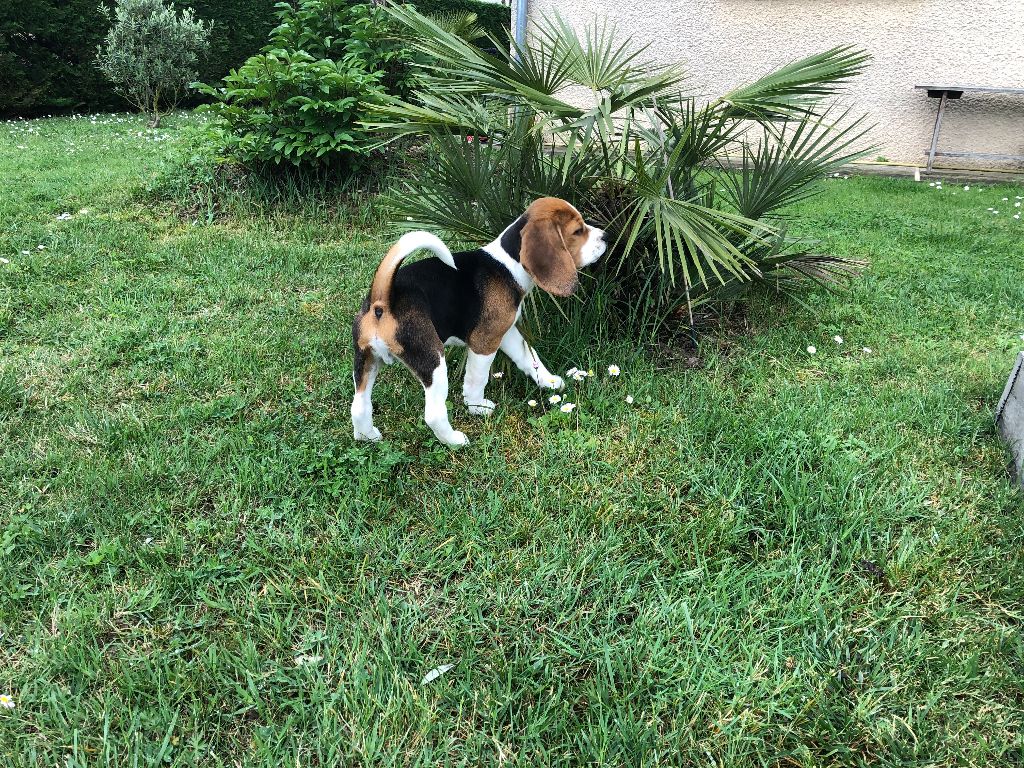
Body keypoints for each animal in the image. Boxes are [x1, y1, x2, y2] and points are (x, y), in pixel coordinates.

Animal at [352, 196, 606, 444]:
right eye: (577, 231)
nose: (606, 236)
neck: (508, 265)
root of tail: (383, 299)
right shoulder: (485, 341)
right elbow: (477, 379)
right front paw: (476, 407)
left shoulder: (507, 332)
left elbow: (529, 357)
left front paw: (548, 382)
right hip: (433, 360)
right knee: (433, 414)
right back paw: (454, 439)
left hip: (366, 359)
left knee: (359, 407)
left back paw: (367, 436)